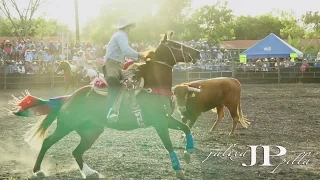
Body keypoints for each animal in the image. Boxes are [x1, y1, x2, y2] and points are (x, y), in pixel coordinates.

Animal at [12, 31, 201, 179]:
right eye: (175, 45)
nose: (198, 53)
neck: (153, 85)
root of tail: (69, 98)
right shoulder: (159, 122)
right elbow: (168, 144)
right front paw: (178, 169)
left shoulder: (166, 119)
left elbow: (186, 128)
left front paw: (189, 152)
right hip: (66, 125)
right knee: (48, 142)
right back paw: (38, 171)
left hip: (91, 131)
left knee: (77, 152)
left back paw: (90, 173)